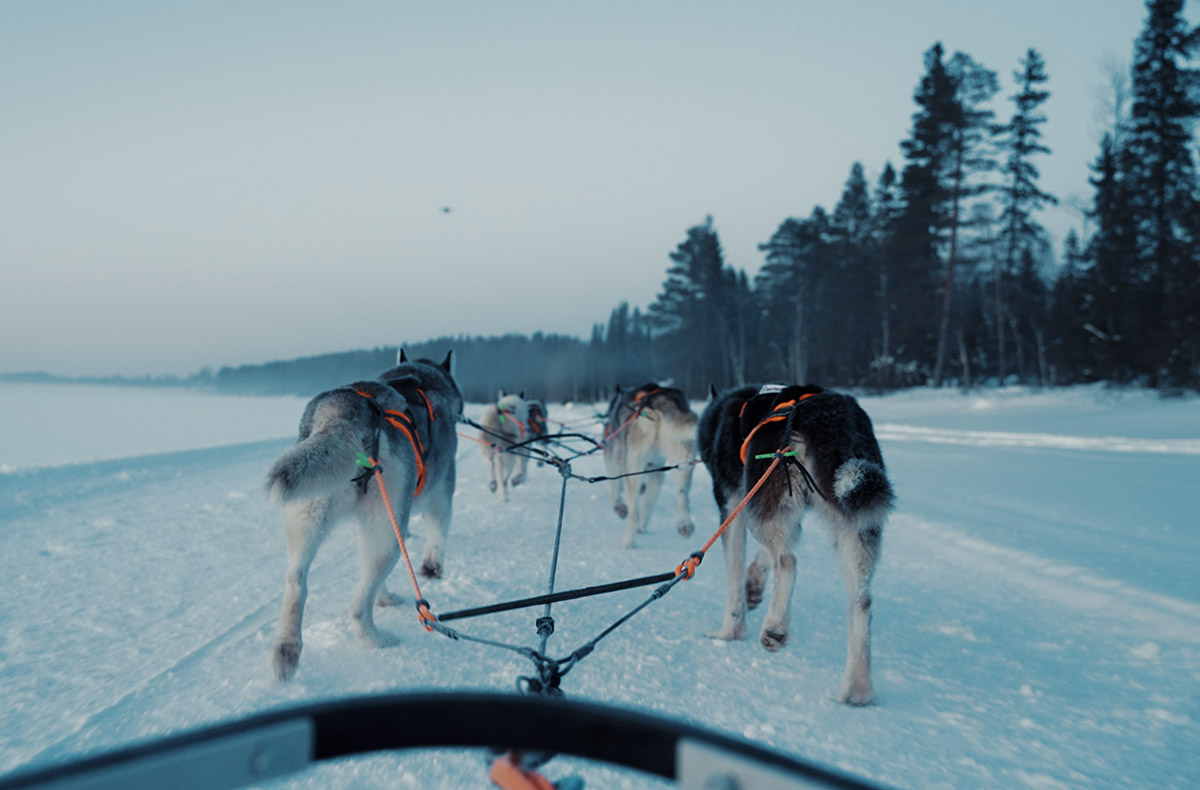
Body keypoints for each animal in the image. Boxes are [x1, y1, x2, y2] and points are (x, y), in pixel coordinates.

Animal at [265, 348, 460, 681]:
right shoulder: (440, 494)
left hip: (307, 519)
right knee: (357, 608)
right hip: (388, 535)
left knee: (297, 581)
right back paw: (379, 639)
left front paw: (383, 597)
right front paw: (432, 568)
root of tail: (346, 408)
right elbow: (438, 535)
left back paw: (286, 652)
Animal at [604, 384, 700, 547]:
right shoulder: (657, 472)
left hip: (632, 468)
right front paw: (643, 526)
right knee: (682, 494)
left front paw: (619, 507)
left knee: (633, 513)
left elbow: (615, 488)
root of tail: (660, 400)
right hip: (683, 461)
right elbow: (648, 503)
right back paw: (685, 524)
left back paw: (627, 542)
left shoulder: (615, 457)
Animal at [700, 381, 897, 701]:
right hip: (853, 521)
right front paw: (753, 585)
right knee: (862, 601)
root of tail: (830, 413)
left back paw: (774, 627)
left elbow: (734, 576)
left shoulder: (733, 505)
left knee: (788, 561)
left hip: (767, 500)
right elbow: (761, 559)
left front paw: (729, 631)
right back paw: (857, 689)